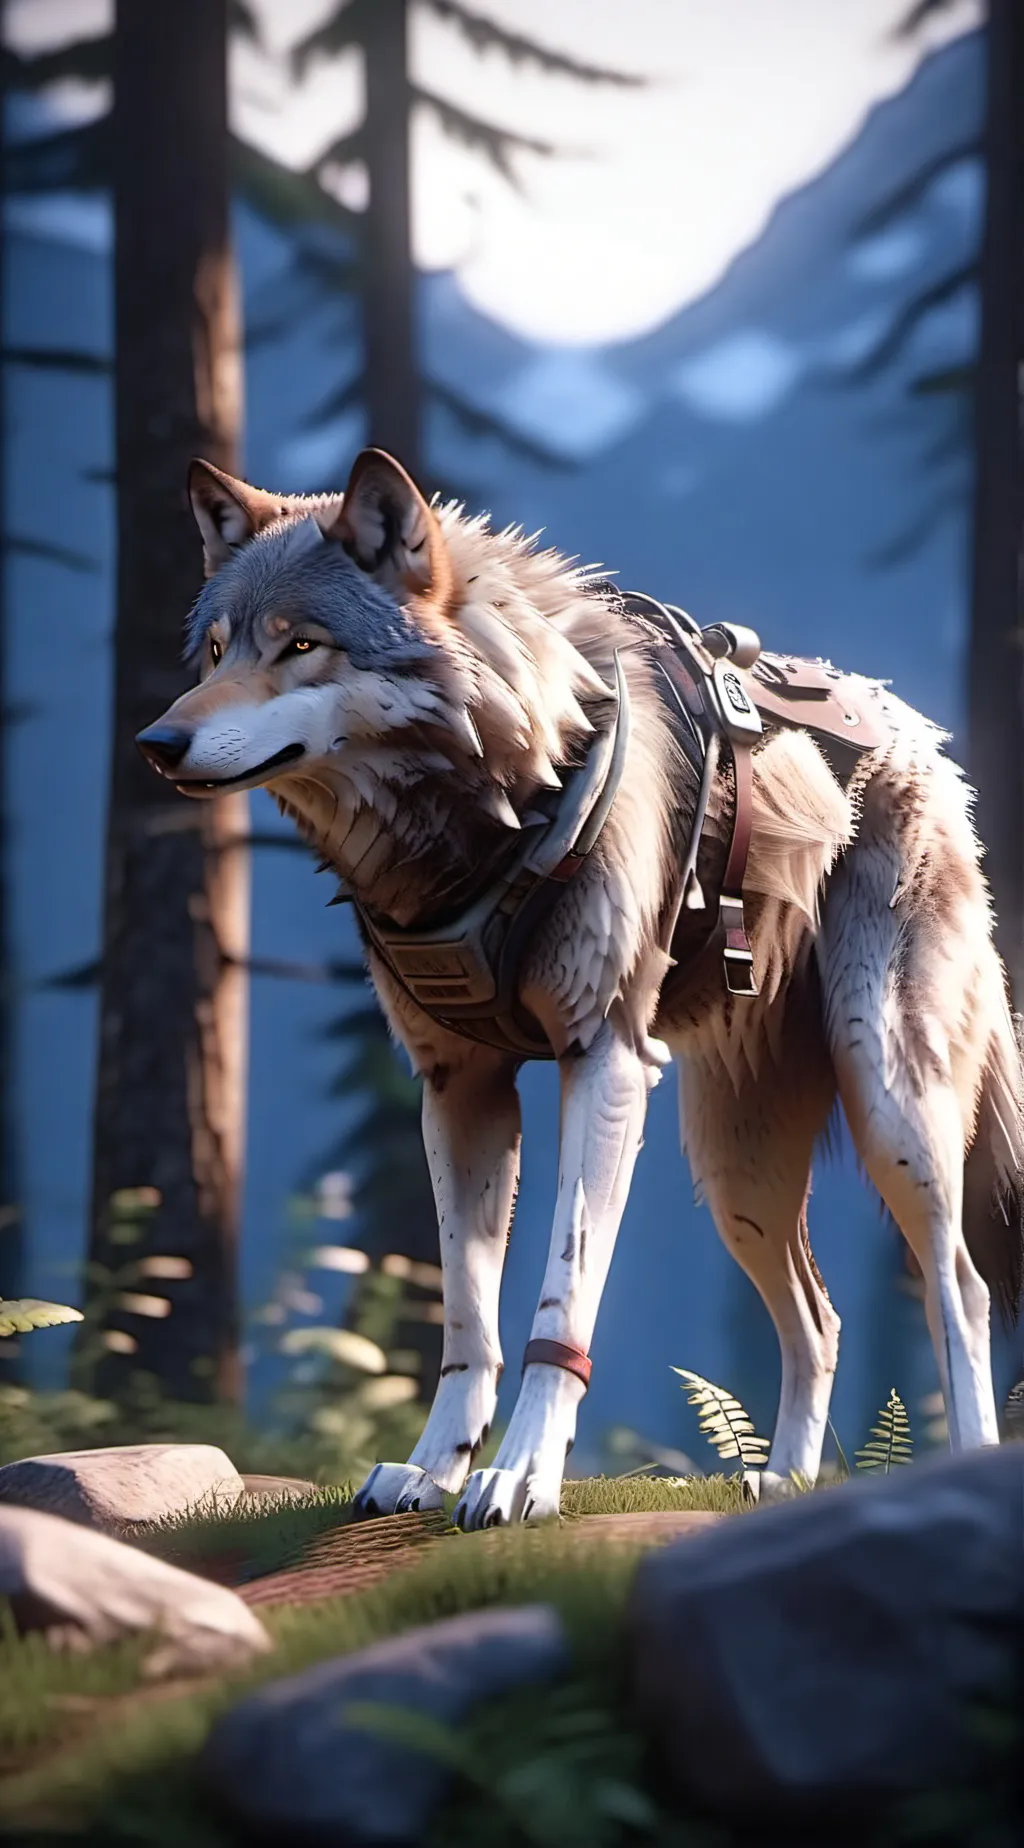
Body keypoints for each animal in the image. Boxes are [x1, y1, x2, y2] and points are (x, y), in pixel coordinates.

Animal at [137, 446, 1024, 1528]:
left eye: (301, 644)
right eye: (218, 651)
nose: (156, 744)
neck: (495, 810)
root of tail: (914, 728)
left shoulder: (601, 1063)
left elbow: (558, 1304)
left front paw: (520, 1477)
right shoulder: (458, 1091)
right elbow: (466, 1321)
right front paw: (431, 1470)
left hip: (888, 1102)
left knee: (959, 1288)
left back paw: (956, 1469)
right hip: (733, 1174)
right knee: (820, 1319)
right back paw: (784, 1484)